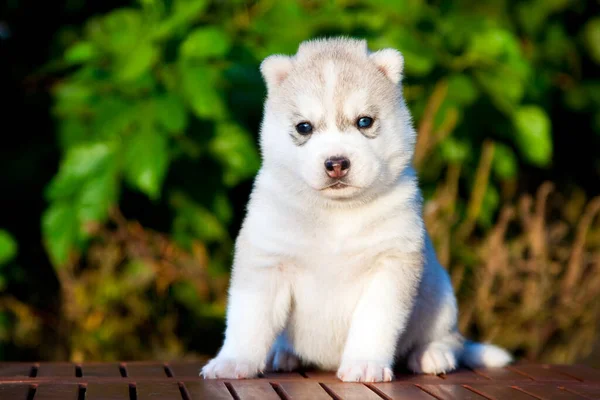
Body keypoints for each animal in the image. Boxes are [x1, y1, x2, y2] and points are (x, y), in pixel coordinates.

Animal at [203, 38, 510, 384]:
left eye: (364, 121)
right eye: (304, 127)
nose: (336, 163)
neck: (336, 215)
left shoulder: (390, 265)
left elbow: (374, 323)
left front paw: (365, 364)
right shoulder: (265, 262)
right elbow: (248, 320)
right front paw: (233, 362)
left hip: (441, 296)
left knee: (450, 339)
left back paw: (432, 354)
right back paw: (284, 354)